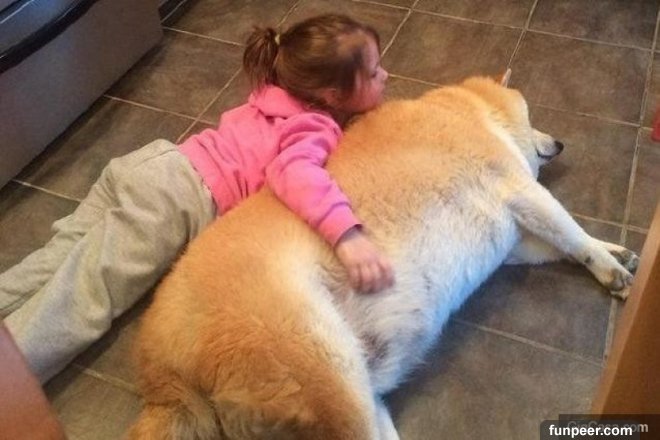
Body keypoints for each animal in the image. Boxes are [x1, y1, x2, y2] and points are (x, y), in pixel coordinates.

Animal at [127, 71, 638, 440]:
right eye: (533, 118)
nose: (559, 143)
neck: (470, 110)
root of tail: (160, 366)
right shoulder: (518, 189)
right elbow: (571, 234)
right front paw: (610, 268)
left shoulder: (515, 237)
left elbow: (564, 243)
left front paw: (617, 250)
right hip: (322, 367)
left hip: (354, 381)